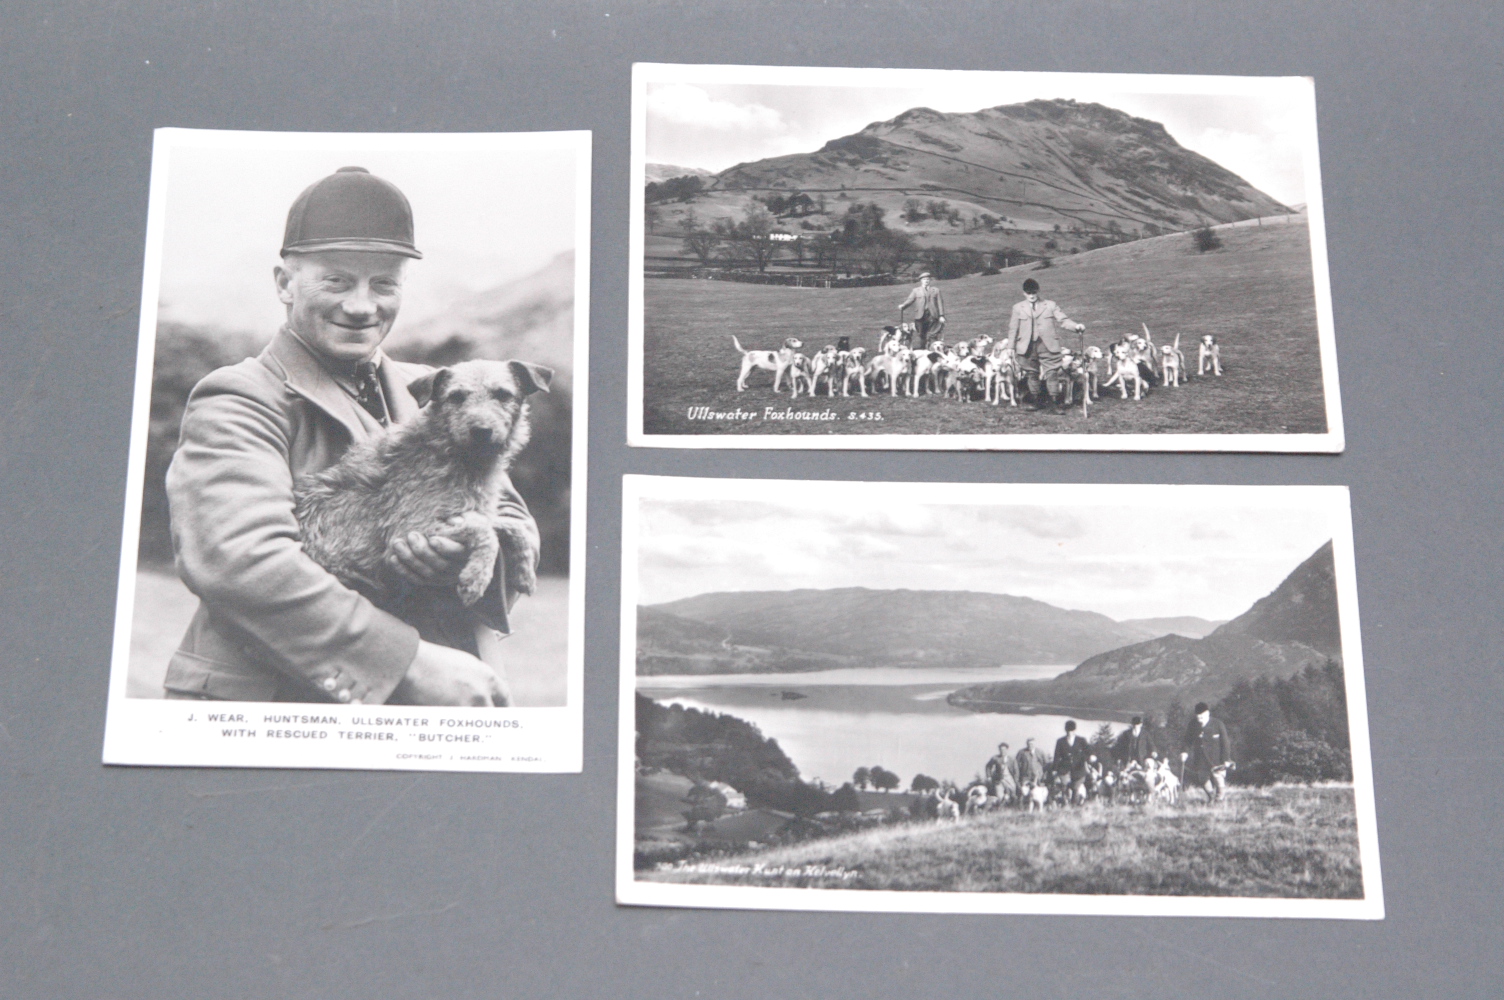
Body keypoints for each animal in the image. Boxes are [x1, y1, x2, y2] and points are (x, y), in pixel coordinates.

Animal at [293, 359, 553, 646]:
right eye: (456, 396)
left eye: (503, 394)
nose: (481, 431)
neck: (449, 453)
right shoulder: (410, 527)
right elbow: (486, 532)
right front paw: (475, 578)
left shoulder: (468, 512)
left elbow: (509, 526)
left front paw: (525, 571)